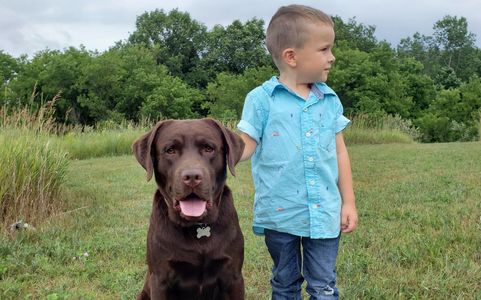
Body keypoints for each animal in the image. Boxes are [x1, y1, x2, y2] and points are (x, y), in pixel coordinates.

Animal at [131, 119, 244, 300]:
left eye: (208, 148)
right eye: (170, 150)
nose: (192, 177)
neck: (197, 226)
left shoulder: (234, 277)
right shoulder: (160, 280)